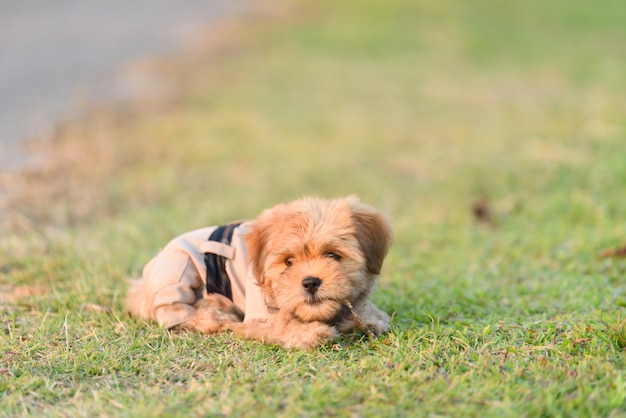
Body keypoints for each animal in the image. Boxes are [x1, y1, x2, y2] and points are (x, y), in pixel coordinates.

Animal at [125, 196, 390, 350]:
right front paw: (311, 333)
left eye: (333, 255)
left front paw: (368, 318)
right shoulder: (259, 314)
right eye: (288, 261)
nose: (311, 283)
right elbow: (279, 324)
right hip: (179, 271)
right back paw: (214, 315)